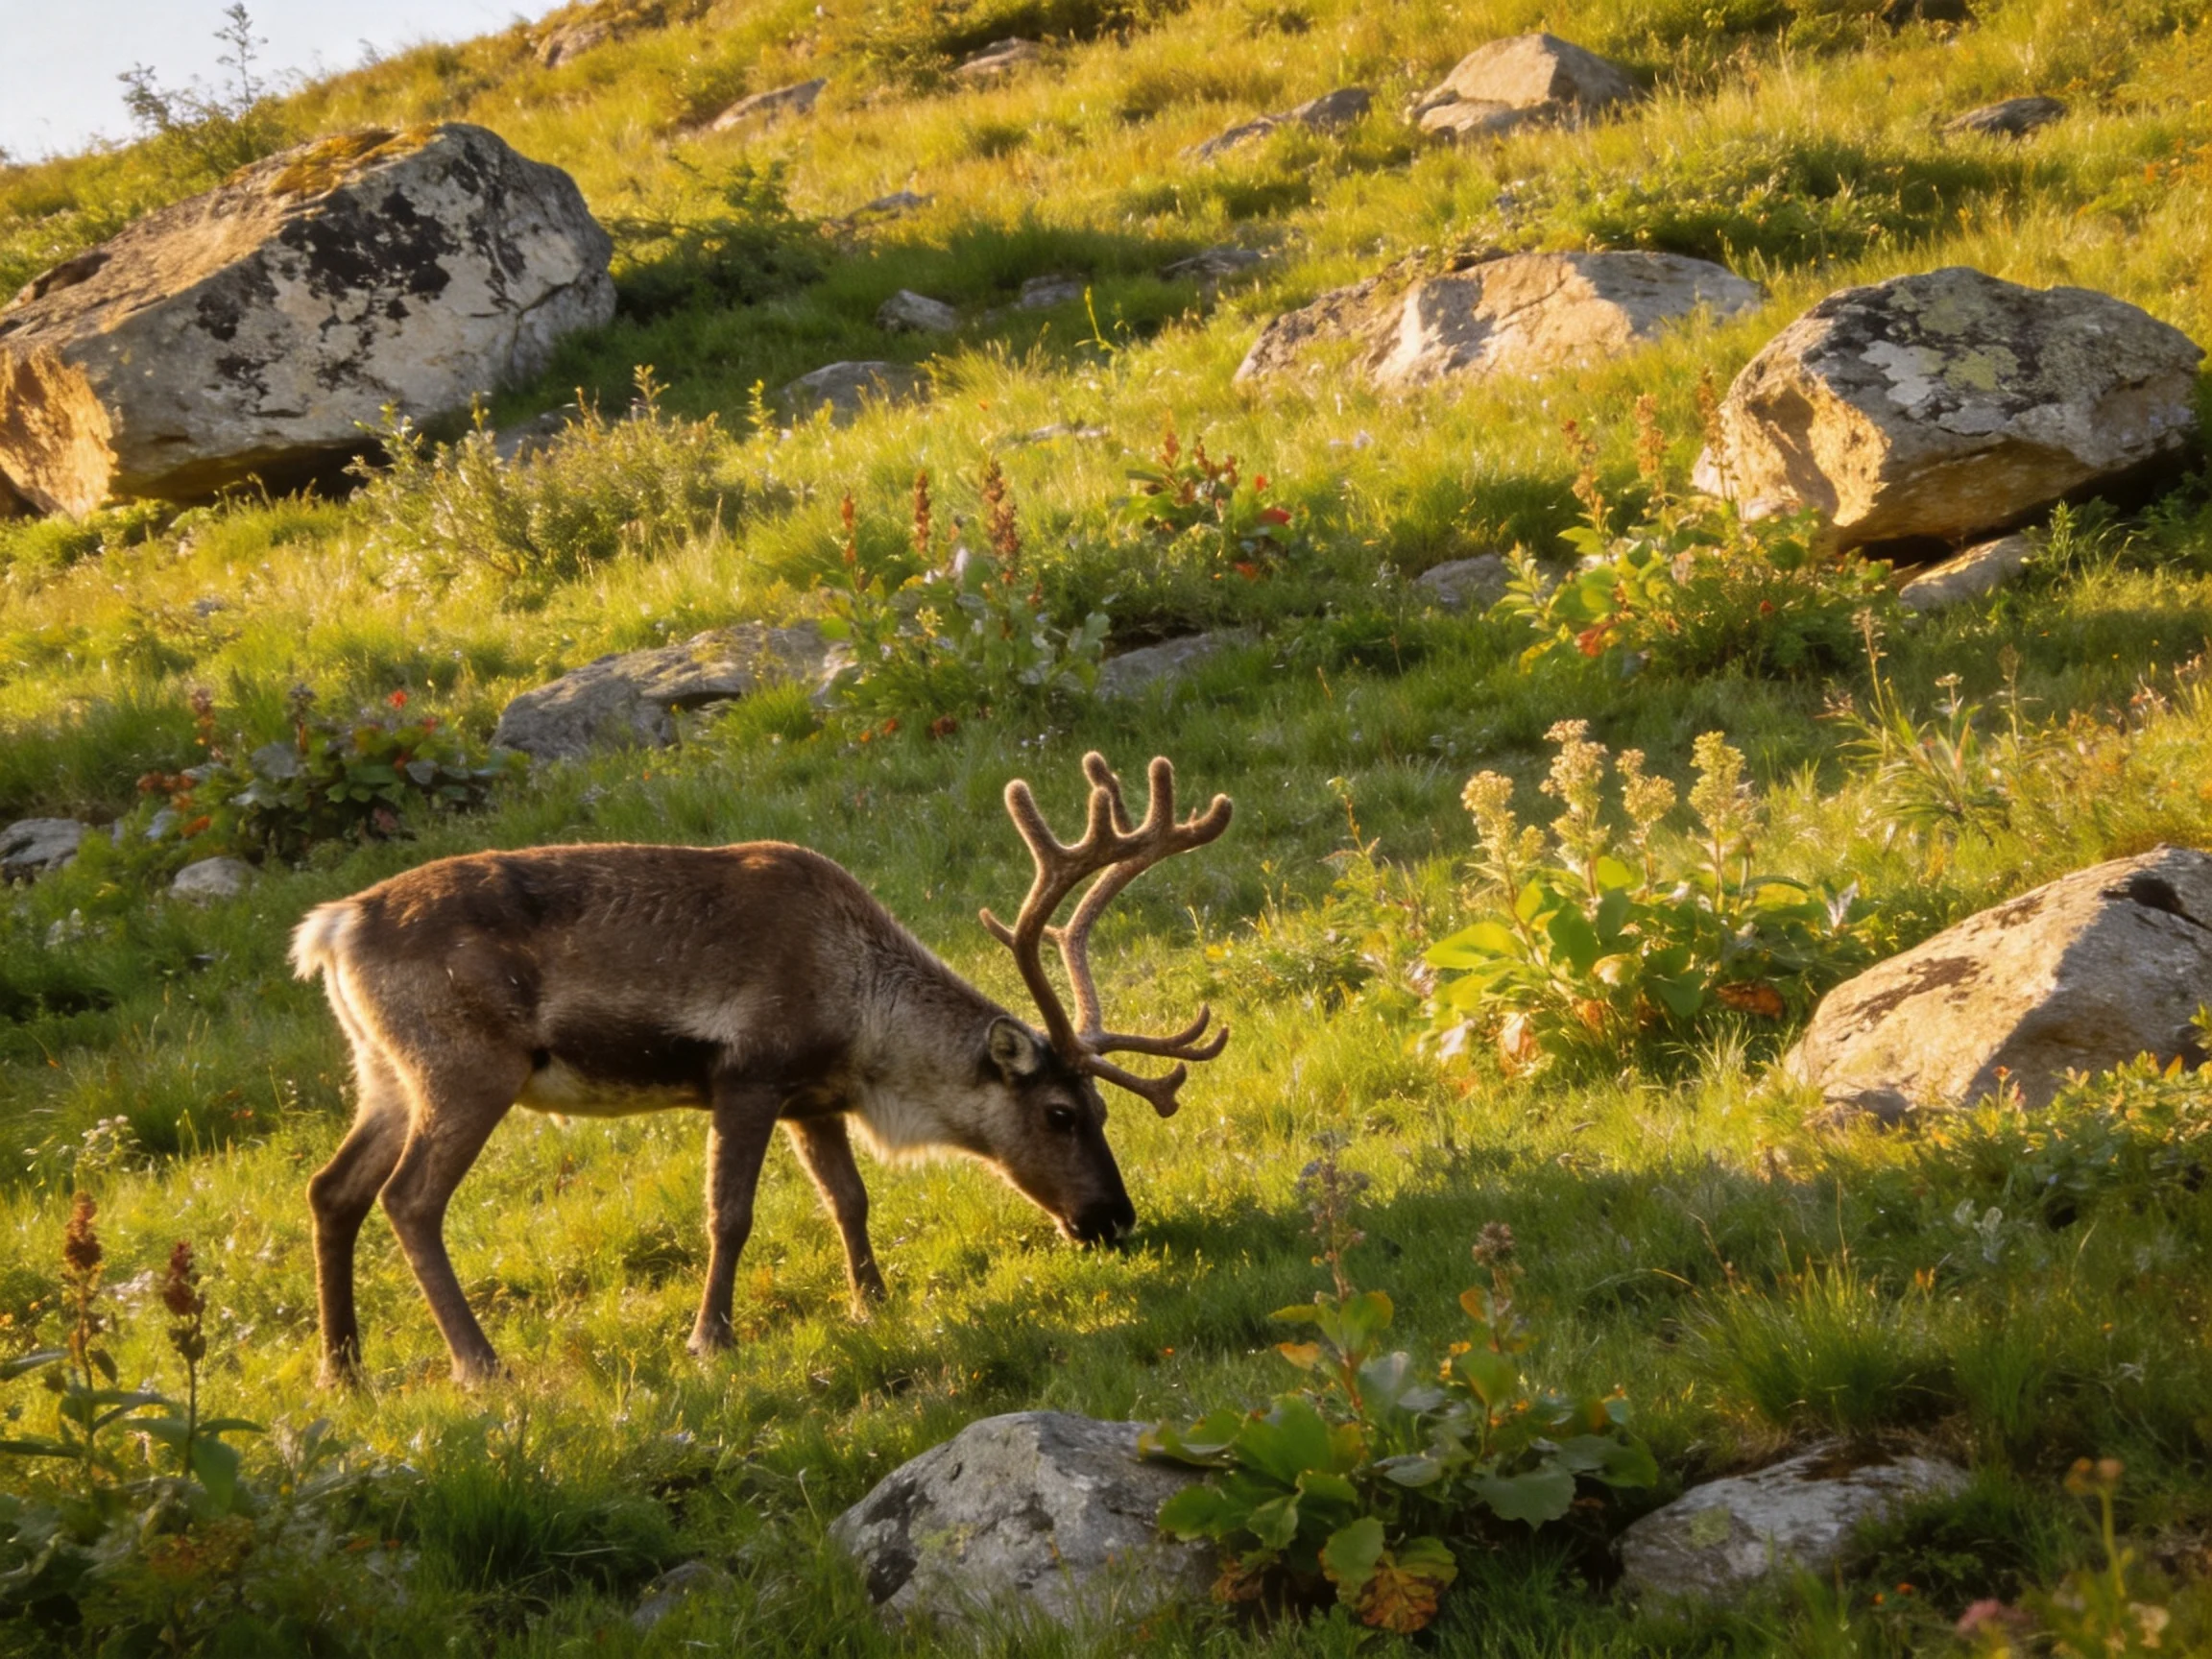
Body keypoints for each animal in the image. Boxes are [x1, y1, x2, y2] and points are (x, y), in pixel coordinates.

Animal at [289, 752, 1231, 1385]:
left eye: (1104, 1112)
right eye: (1061, 1114)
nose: (1113, 1219)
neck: (863, 1024)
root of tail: (329, 929)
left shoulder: (812, 1099)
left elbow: (849, 1199)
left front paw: (873, 1302)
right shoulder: (747, 1077)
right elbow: (730, 1215)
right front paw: (711, 1338)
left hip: (382, 1073)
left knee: (332, 1188)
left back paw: (344, 1368)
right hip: (463, 1067)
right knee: (410, 1199)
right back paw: (480, 1363)